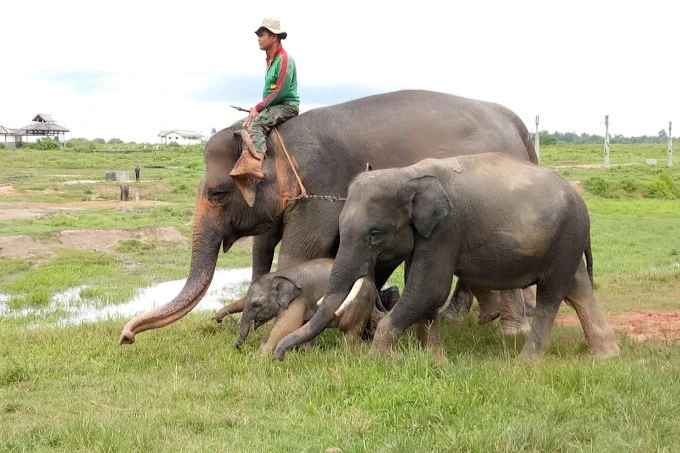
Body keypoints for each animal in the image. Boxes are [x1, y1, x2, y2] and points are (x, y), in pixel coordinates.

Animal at [121, 89, 536, 342]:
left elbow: (301, 254)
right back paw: (468, 318)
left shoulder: (320, 188)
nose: (126, 336)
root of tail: (518, 126)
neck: (277, 138)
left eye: (218, 194)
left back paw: (510, 331)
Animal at [231, 256, 386, 354]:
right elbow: (301, 326)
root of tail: (372, 282)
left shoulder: (298, 299)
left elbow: (285, 326)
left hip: (360, 300)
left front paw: (258, 358)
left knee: (349, 330)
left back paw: (345, 354)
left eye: (257, 304)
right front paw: (310, 354)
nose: (236, 348)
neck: (279, 274)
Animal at [274, 152, 620, 360]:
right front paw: (431, 357)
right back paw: (606, 356)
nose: (278, 356)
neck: (408, 172)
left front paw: (377, 360)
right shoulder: (427, 237)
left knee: (552, 295)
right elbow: (422, 289)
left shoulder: (446, 230)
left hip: (566, 238)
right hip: (566, 240)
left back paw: (525, 363)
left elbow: (430, 287)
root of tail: (579, 197)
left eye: (374, 233)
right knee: (578, 288)